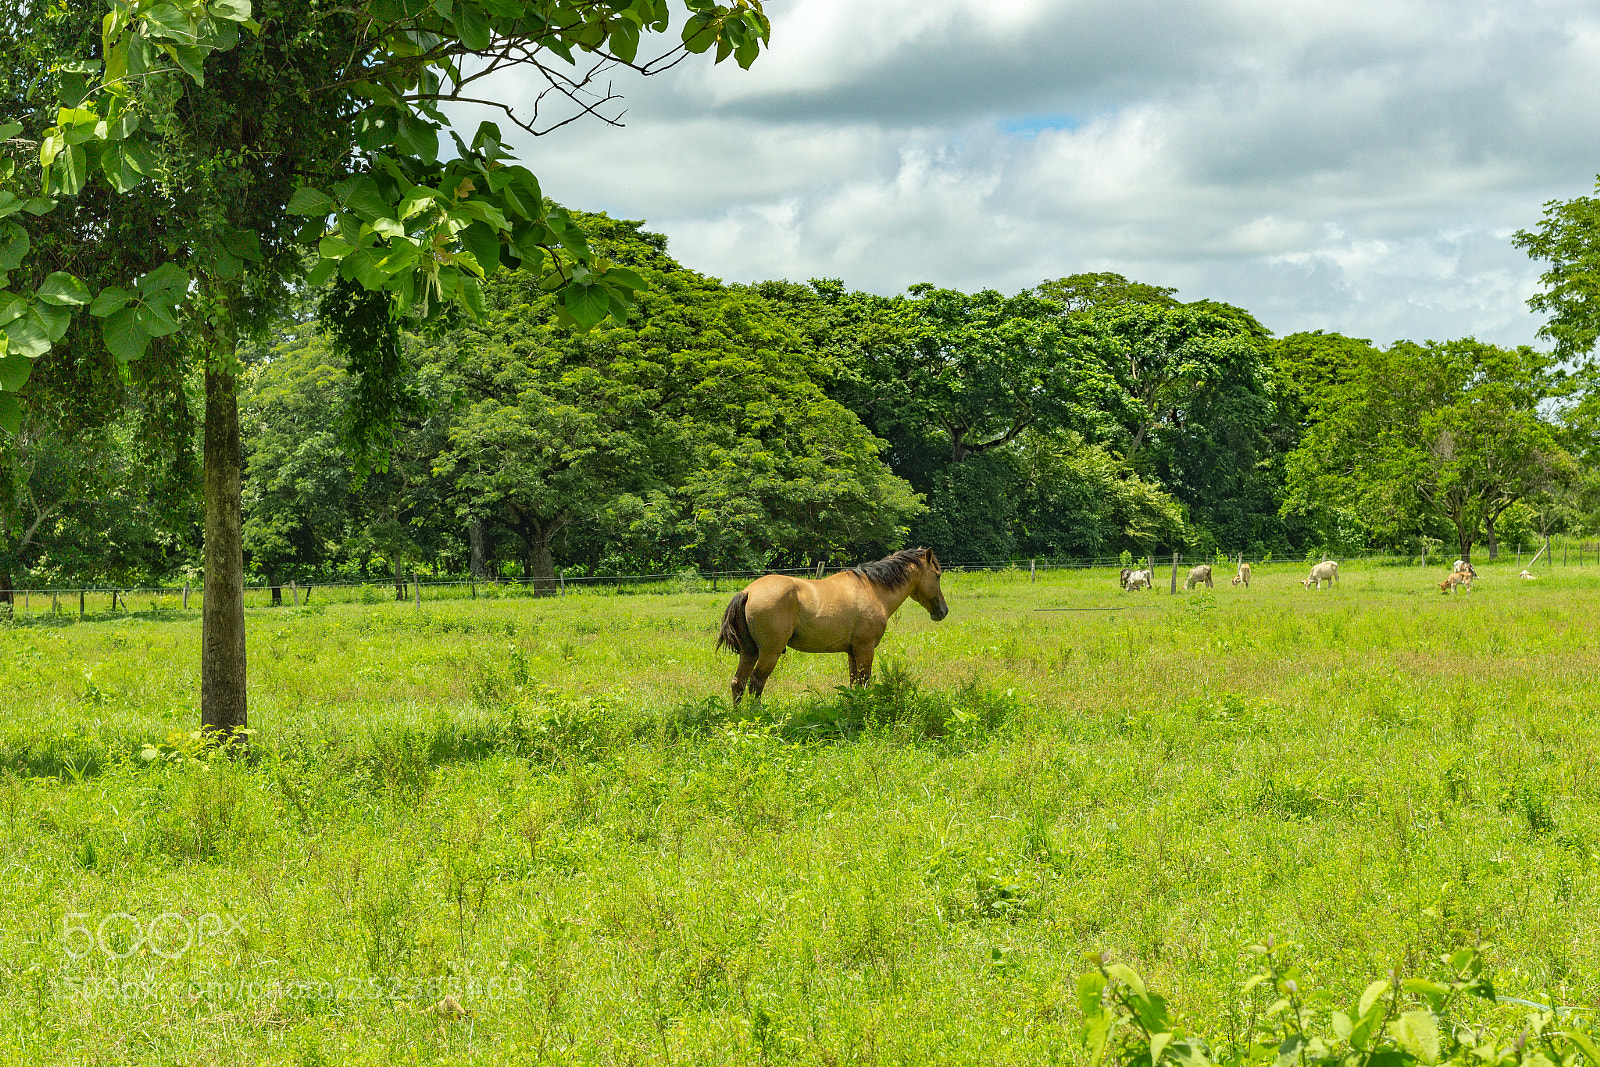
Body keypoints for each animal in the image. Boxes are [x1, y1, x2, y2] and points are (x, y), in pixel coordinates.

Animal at [715, 547, 950, 704]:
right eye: (937, 576)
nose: (943, 611)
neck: (872, 589)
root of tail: (748, 591)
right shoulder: (865, 649)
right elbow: (865, 682)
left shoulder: (852, 652)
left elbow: (854, 684)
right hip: (769, 653)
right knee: (756, 683)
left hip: (749, 651)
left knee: (738, 683)